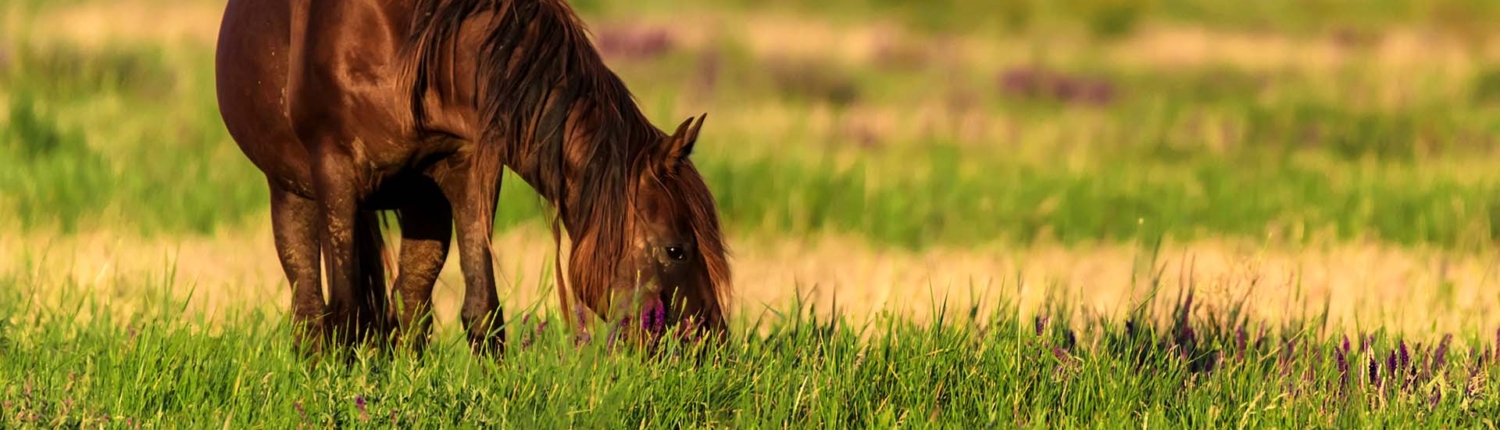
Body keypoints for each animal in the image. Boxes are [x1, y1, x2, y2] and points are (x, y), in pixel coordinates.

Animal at [213, 0, 732, 356]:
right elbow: (344, 312)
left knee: (411, 302)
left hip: (422, 203)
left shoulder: (470, 168)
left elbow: (481, 308)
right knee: (310, 306)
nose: (712, 346)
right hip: (292, 191)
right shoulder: (334, 173)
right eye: (676, 249)